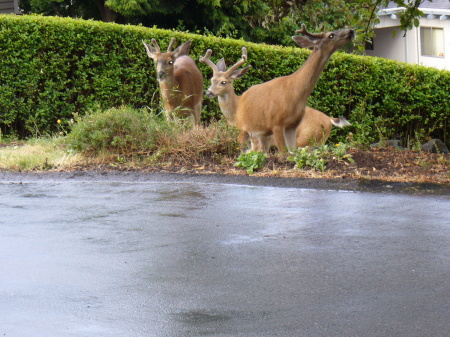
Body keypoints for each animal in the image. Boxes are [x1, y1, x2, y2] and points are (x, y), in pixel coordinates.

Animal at [200, 46, 352, 150]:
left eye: (223, 82)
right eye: (211, 79)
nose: (208, 92)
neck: (236, 110)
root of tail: (329, 120)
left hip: (306, 139)